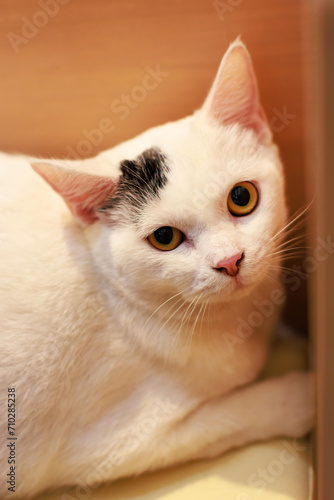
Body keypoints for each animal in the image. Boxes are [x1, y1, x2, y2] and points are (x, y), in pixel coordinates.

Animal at [0, 41, 314, 498]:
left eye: (242, 197)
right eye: (165, 237)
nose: (229, 261)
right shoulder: (105, 448)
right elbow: (230, 417)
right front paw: (303, 393)